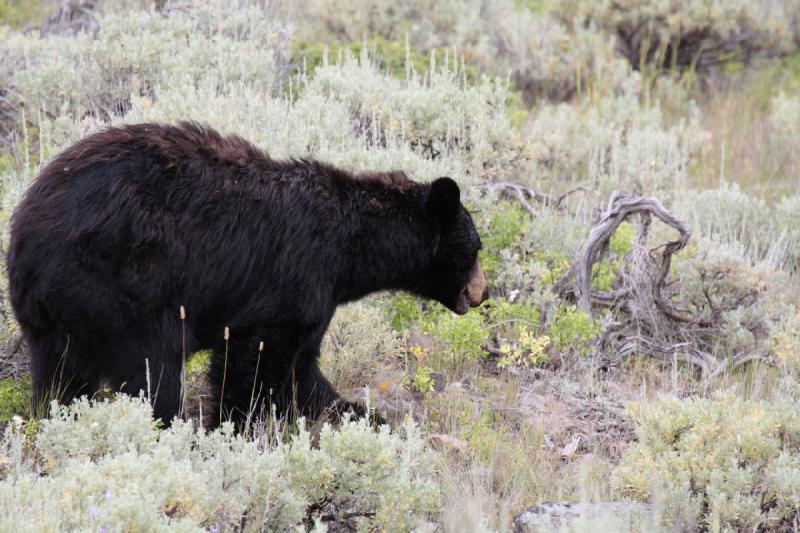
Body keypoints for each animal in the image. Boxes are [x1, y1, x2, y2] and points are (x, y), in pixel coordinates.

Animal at [9, 121, 488, 428]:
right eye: (476, 248)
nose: (482, 293)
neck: (348, 250)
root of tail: (24, 229)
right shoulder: (292, 279)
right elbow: (255, 360)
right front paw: (241, 428)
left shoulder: (314, 297)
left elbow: (304, 368)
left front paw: (360, 413)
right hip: (117, 288)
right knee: (153, 370)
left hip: (54, 318)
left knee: (60, 378)